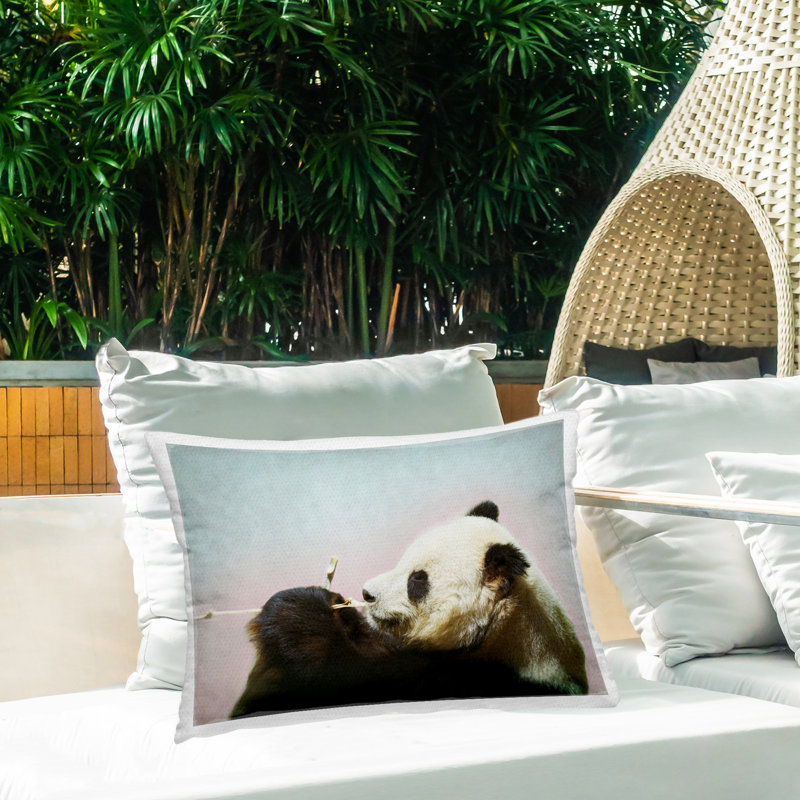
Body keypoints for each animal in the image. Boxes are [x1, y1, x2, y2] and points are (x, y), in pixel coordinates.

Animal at [230, 500, 587, 719]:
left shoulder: (480, 680)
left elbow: (351, 676)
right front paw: (333, 606)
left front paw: (298, 618)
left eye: (418, 580)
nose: (367, 594)